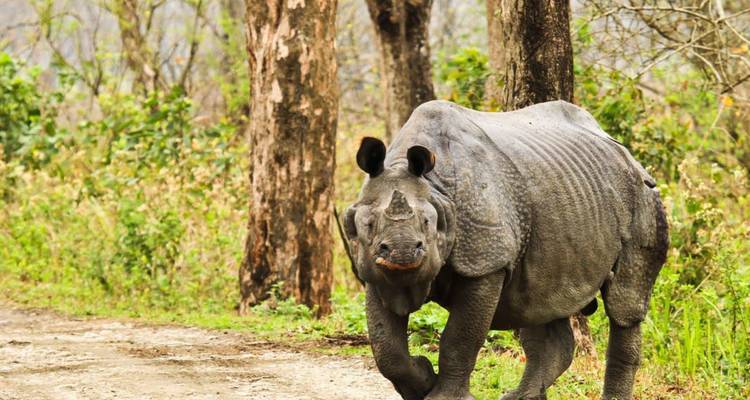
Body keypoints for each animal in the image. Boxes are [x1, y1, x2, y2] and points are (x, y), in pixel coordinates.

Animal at [341, 100, 668, 400]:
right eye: (368, 224)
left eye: (426, 223)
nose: (404, 251)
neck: (436, 189)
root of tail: (626, 154)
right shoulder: (374, 268)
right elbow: (385, 347)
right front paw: (422, 379)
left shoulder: (486, 263)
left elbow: (460, 338)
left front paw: (441, 395)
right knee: (537, 301)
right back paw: (521, 396)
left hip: (642, 196)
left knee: (624, 305)